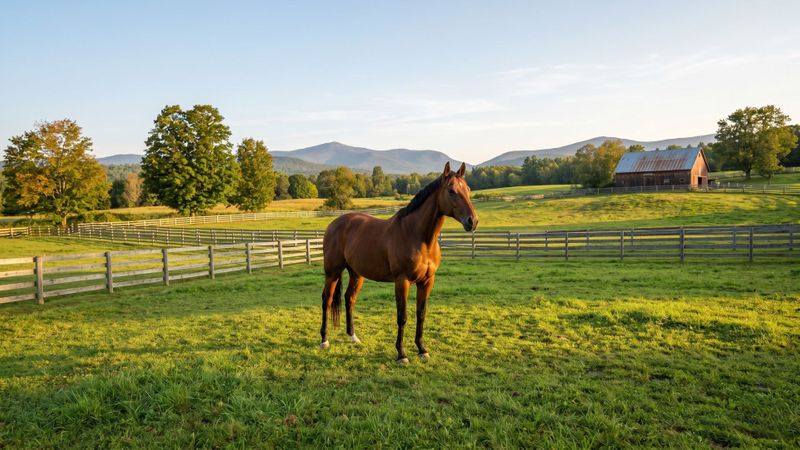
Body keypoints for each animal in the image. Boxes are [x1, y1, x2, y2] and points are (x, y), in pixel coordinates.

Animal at [319, 161, 478, 363]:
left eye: (468, 189)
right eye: (451, 191)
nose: (472, 221)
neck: (417, 236)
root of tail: (334, 223)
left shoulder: (427, 282)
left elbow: (421, 314)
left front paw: (422, 349)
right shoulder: (402, 281)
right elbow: (402, 317)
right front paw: (402, 354)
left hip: (356, 273)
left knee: (349, 298)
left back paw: (353, 337)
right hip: (332, 272)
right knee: (327, 300)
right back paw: (324, 340)